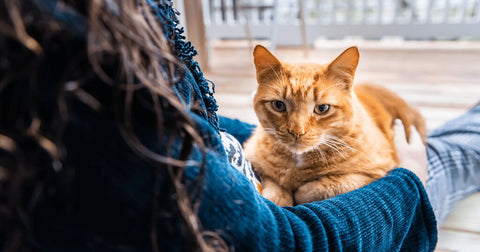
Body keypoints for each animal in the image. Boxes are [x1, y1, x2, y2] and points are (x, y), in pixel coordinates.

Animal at [246, 44, 426, 207]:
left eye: (322, 108)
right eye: (278, 105)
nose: (297, 132)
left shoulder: (377, 172)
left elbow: (328, 185)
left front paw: (299, 192)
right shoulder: (253, 158)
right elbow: (273, 185)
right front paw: (279, 198)